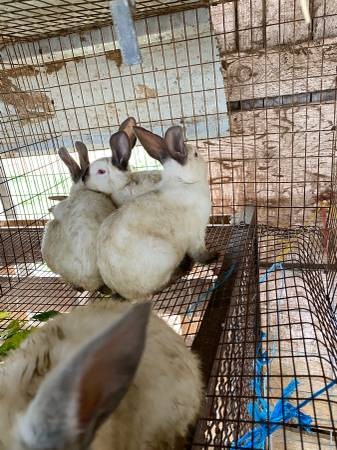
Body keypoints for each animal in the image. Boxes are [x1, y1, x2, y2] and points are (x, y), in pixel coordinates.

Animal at [94, 123, 215, 300]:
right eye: (196, 154)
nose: (203, 158)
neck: (183, 182)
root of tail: (125, 292)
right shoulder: (196, 235)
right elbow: (200, 252)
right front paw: (213, 257)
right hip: (166, 255)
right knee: (159, 286)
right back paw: (182, 269)